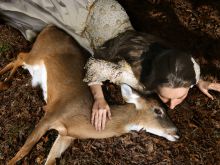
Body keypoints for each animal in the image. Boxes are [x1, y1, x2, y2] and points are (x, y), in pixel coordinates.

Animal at [0, 24, 179, 165]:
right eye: (158, 110)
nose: (176, 132)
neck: (82, 116)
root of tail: (50, 27)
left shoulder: (67, 135)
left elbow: (50, 160)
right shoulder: (51, 114)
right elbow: (25, 149)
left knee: (19, 58)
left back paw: (4, 81)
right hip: (37, 54)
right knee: (20, 56)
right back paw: (4, 81)